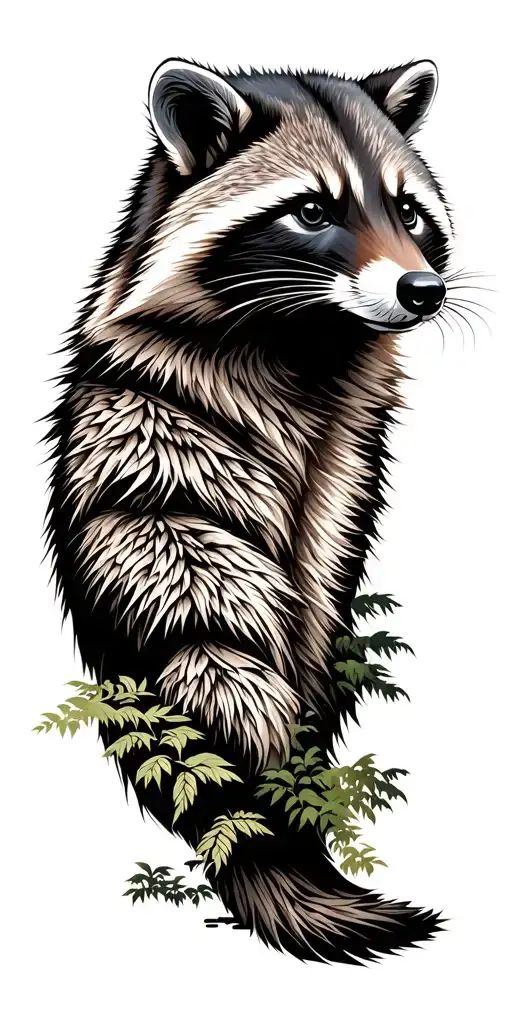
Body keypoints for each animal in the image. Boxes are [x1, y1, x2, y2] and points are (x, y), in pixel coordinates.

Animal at [46, 57, 454, 965]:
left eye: (408, 212)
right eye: (312, 211)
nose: (423, 289)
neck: (309, 335)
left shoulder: (350, 449)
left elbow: (325, 573)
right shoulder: (169, 409)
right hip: (165, 483)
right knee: (214, 621)